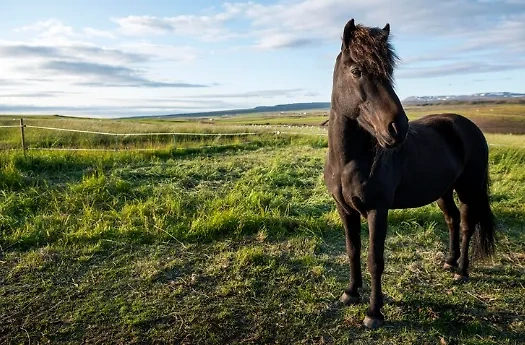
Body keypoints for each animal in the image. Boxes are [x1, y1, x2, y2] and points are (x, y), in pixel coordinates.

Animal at [324, 18, 496, 328]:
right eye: (356, 71)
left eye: (389, 72)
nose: (397, 127)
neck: (349, 161)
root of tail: (468, 126)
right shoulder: (345, 210)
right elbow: (352, 250)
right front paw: (350, 293)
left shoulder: (377, 210)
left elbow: (375, 260)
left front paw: (374, 313)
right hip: (443, 191)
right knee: (452, 219)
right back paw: (449, 261)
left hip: (469, 189)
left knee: (467, 224)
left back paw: (461, 271)